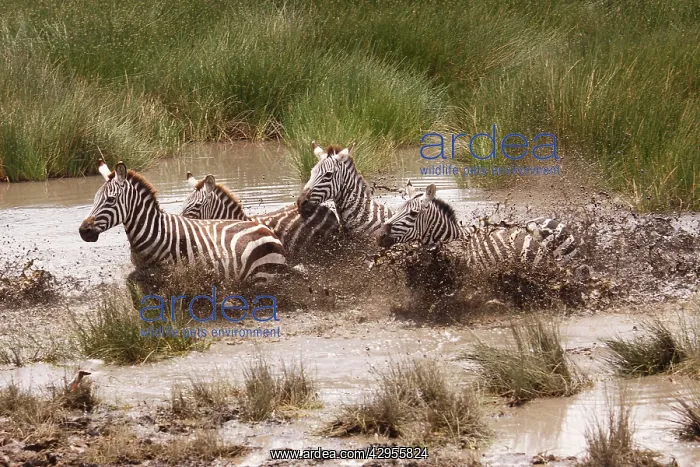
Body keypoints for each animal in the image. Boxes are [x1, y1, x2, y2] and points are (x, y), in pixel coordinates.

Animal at [78, 160, 287, 283]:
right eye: (94, 199)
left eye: (110, 200)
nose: (83, 231)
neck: (156, 232)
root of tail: (268, 231)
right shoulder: (141, 272)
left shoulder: (170, 274)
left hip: (263, 275)